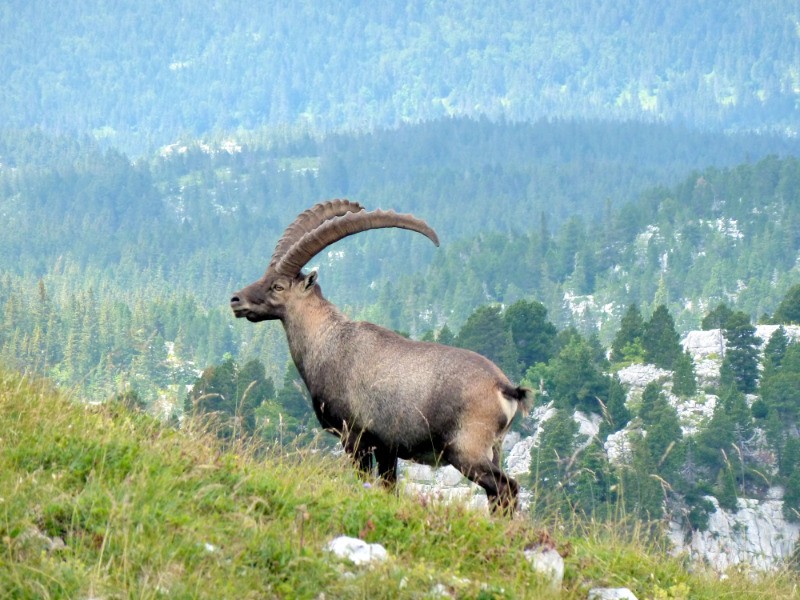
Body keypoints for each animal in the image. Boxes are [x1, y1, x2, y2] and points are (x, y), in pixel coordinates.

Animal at [230, 200, 532, 513]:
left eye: (278, 286)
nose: (236, 300)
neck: (328, 340)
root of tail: (504, 387)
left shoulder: (355, 437)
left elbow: (365, 481)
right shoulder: (388, 447)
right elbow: (389, 488)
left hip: (466, 450)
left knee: (506, 487)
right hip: (493, 448)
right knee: (497, 494)